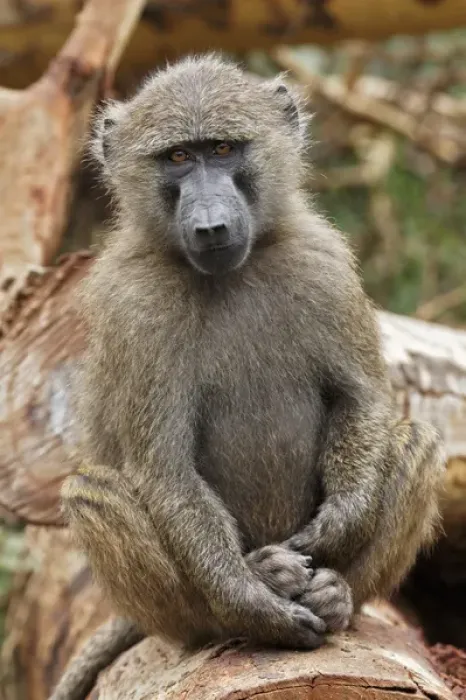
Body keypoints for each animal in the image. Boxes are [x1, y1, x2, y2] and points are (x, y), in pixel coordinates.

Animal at [50, 54, 445, 700]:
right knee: (93, 494)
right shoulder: (135, 309)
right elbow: (166, 471)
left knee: (420, 442)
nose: (211, 225)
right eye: (178, 158)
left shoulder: (324, 266)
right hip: (174, 609)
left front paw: (336, 527)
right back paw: (247, 597)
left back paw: (338, 595)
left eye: (224, 148)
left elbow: (362, 401)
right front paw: (257, 607)